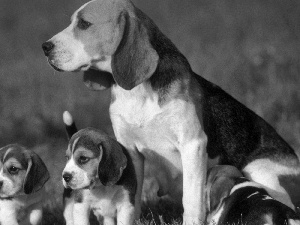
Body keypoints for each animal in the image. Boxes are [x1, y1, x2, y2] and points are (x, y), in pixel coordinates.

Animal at [42, 0, 300, 222]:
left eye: (84, 24)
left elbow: (192, 199)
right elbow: (132, 197)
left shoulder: (192, 145)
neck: (138, 93)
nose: (45, 47)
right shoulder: (129, 150)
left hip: (259, 170)